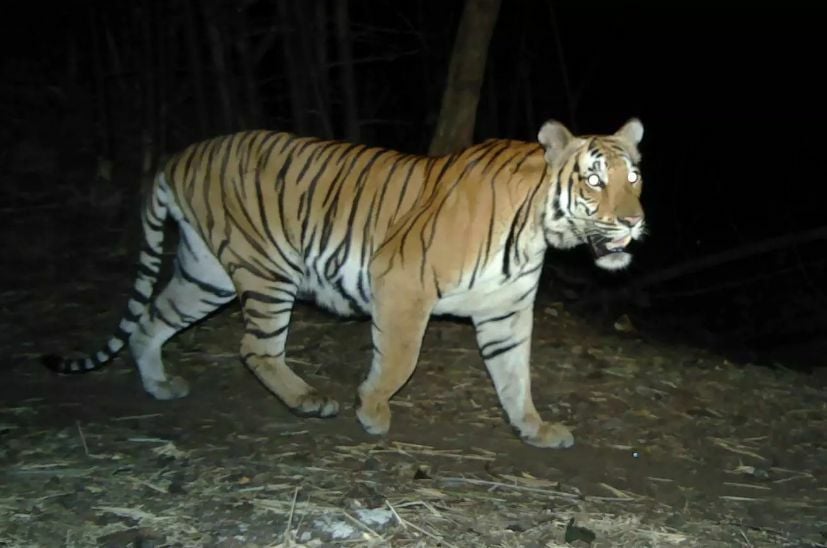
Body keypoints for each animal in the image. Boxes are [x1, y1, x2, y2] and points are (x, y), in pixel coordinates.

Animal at [43, 118, 645, 449]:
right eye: (594, 181)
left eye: (634, 177)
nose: (635, 221)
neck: (537, 232)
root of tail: (178, 156)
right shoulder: (402, 284)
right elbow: (399, 359)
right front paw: (372, 410)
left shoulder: (505, 313)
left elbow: (515, 377)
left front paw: (533, 429)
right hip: (267, 271)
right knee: (254, 348)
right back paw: (309, 400)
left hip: (205, 272)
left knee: (150, 321)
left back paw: (159, 385)